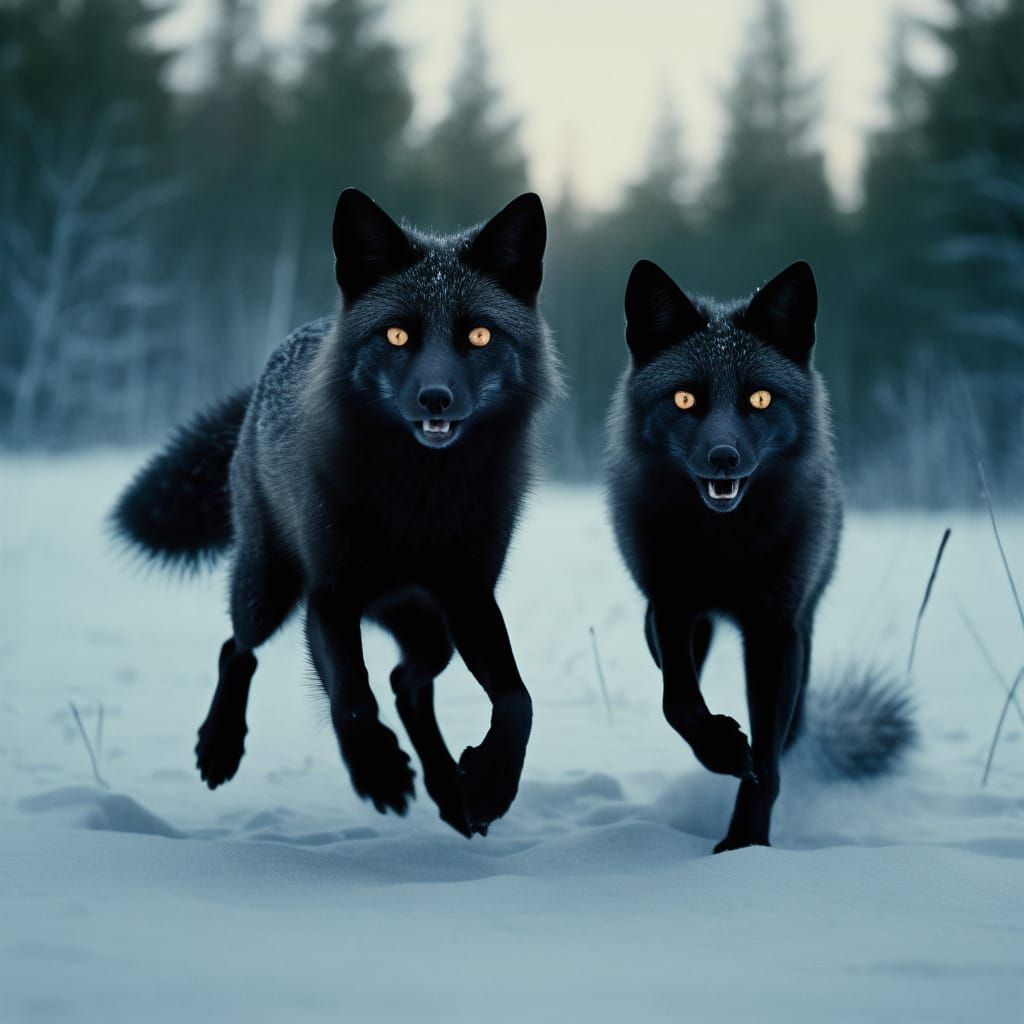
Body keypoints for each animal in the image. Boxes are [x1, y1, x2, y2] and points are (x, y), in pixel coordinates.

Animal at [113, 188, 560, 837]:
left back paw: (450, 790)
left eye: (479, 336)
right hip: (267, 588)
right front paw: (377, 771)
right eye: (397, 336)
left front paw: (489, 784)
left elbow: (516, 701)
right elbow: (351, 697)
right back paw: (220, 745)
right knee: (237, 648)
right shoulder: (330, 595)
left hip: (434, 631)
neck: (416, 507)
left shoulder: (471, 597)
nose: (435, 399)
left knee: (407, 684)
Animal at [606, 259, 914, 852]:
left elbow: (768, 765)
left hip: (800, 626)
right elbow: (679, 701)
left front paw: (745, 845)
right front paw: (722, 749)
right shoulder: (672, 607)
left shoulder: (775, 629)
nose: (723, 458)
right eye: (685, 399)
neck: (724, 551)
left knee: (792, 732)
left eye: (760, 399)